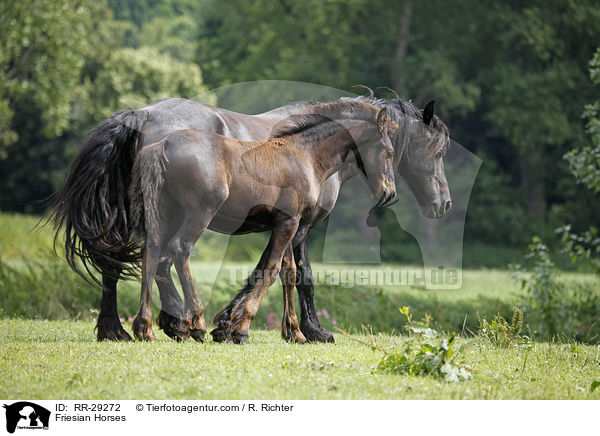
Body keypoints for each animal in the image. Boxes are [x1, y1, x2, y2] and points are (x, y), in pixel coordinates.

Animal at [128, 103, 396, 344]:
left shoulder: (288, 224)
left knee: (152, 252)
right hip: (198, 213)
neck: (304, 155)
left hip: (165, 213)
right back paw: (195, 324)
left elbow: (289, 271)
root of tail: (163, 144)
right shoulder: (290, 223)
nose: (389, 193)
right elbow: (272, 269)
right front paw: (241, 329)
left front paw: (294, 333)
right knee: (179, 250)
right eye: (390, 151)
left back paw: (145, 328)